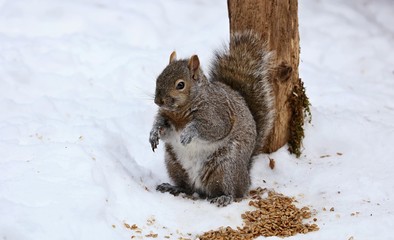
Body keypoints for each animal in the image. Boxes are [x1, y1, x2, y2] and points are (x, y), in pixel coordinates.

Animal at [149, 31, 276, 207]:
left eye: (180, 85)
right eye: (158, 78)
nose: (158, 101)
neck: (180, 112)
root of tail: (245, 176)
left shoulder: (218, 114)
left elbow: (214, 129)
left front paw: (188, 133)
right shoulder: (167, 118)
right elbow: (162, 127)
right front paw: (153, 134)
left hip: (226, 168)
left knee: (233, 192)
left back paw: (224, 197)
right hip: (174, 165)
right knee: (187, 187)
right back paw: (173, 187)